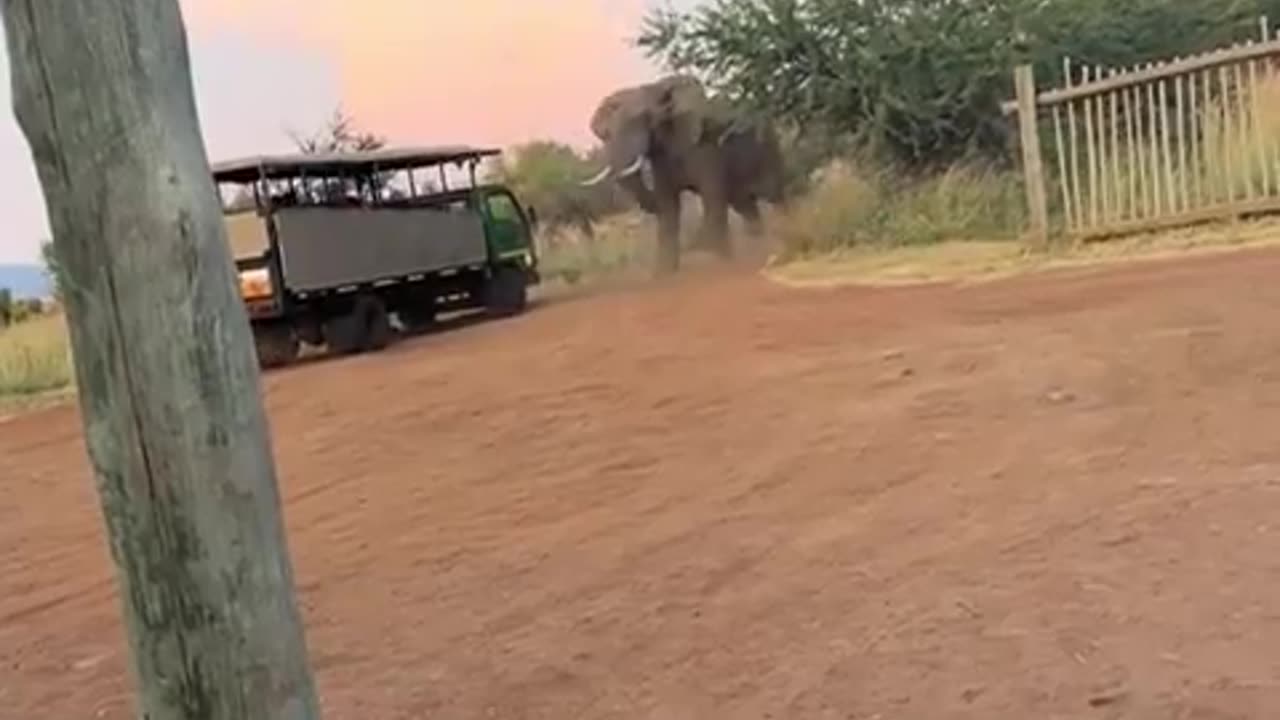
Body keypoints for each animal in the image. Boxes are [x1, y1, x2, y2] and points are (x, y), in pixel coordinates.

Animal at [583, 74, 783, 271]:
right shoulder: (662, 157)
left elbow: (712, 197)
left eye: (644, 119)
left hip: (769, 147)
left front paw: (718, 264)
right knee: (745, 205)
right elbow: (669, 207)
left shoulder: (705, 144)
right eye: (606, 134)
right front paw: (664, 274)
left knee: (775, 196)